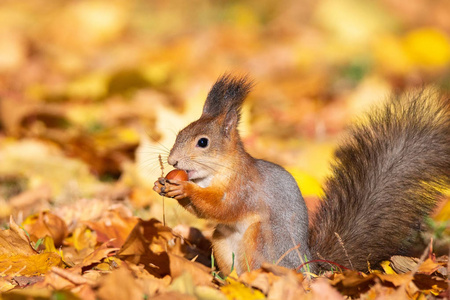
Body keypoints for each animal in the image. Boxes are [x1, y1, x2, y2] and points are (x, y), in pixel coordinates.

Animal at [152, 74, 450, 274]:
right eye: (180, 133)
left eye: (203, 142)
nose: (172, 160)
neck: (214, 174)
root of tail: (307, 270)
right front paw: (161, 184)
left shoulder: (245, 188)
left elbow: (223, 207)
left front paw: (184, 189)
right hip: (222, 242)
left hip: (261, 240)